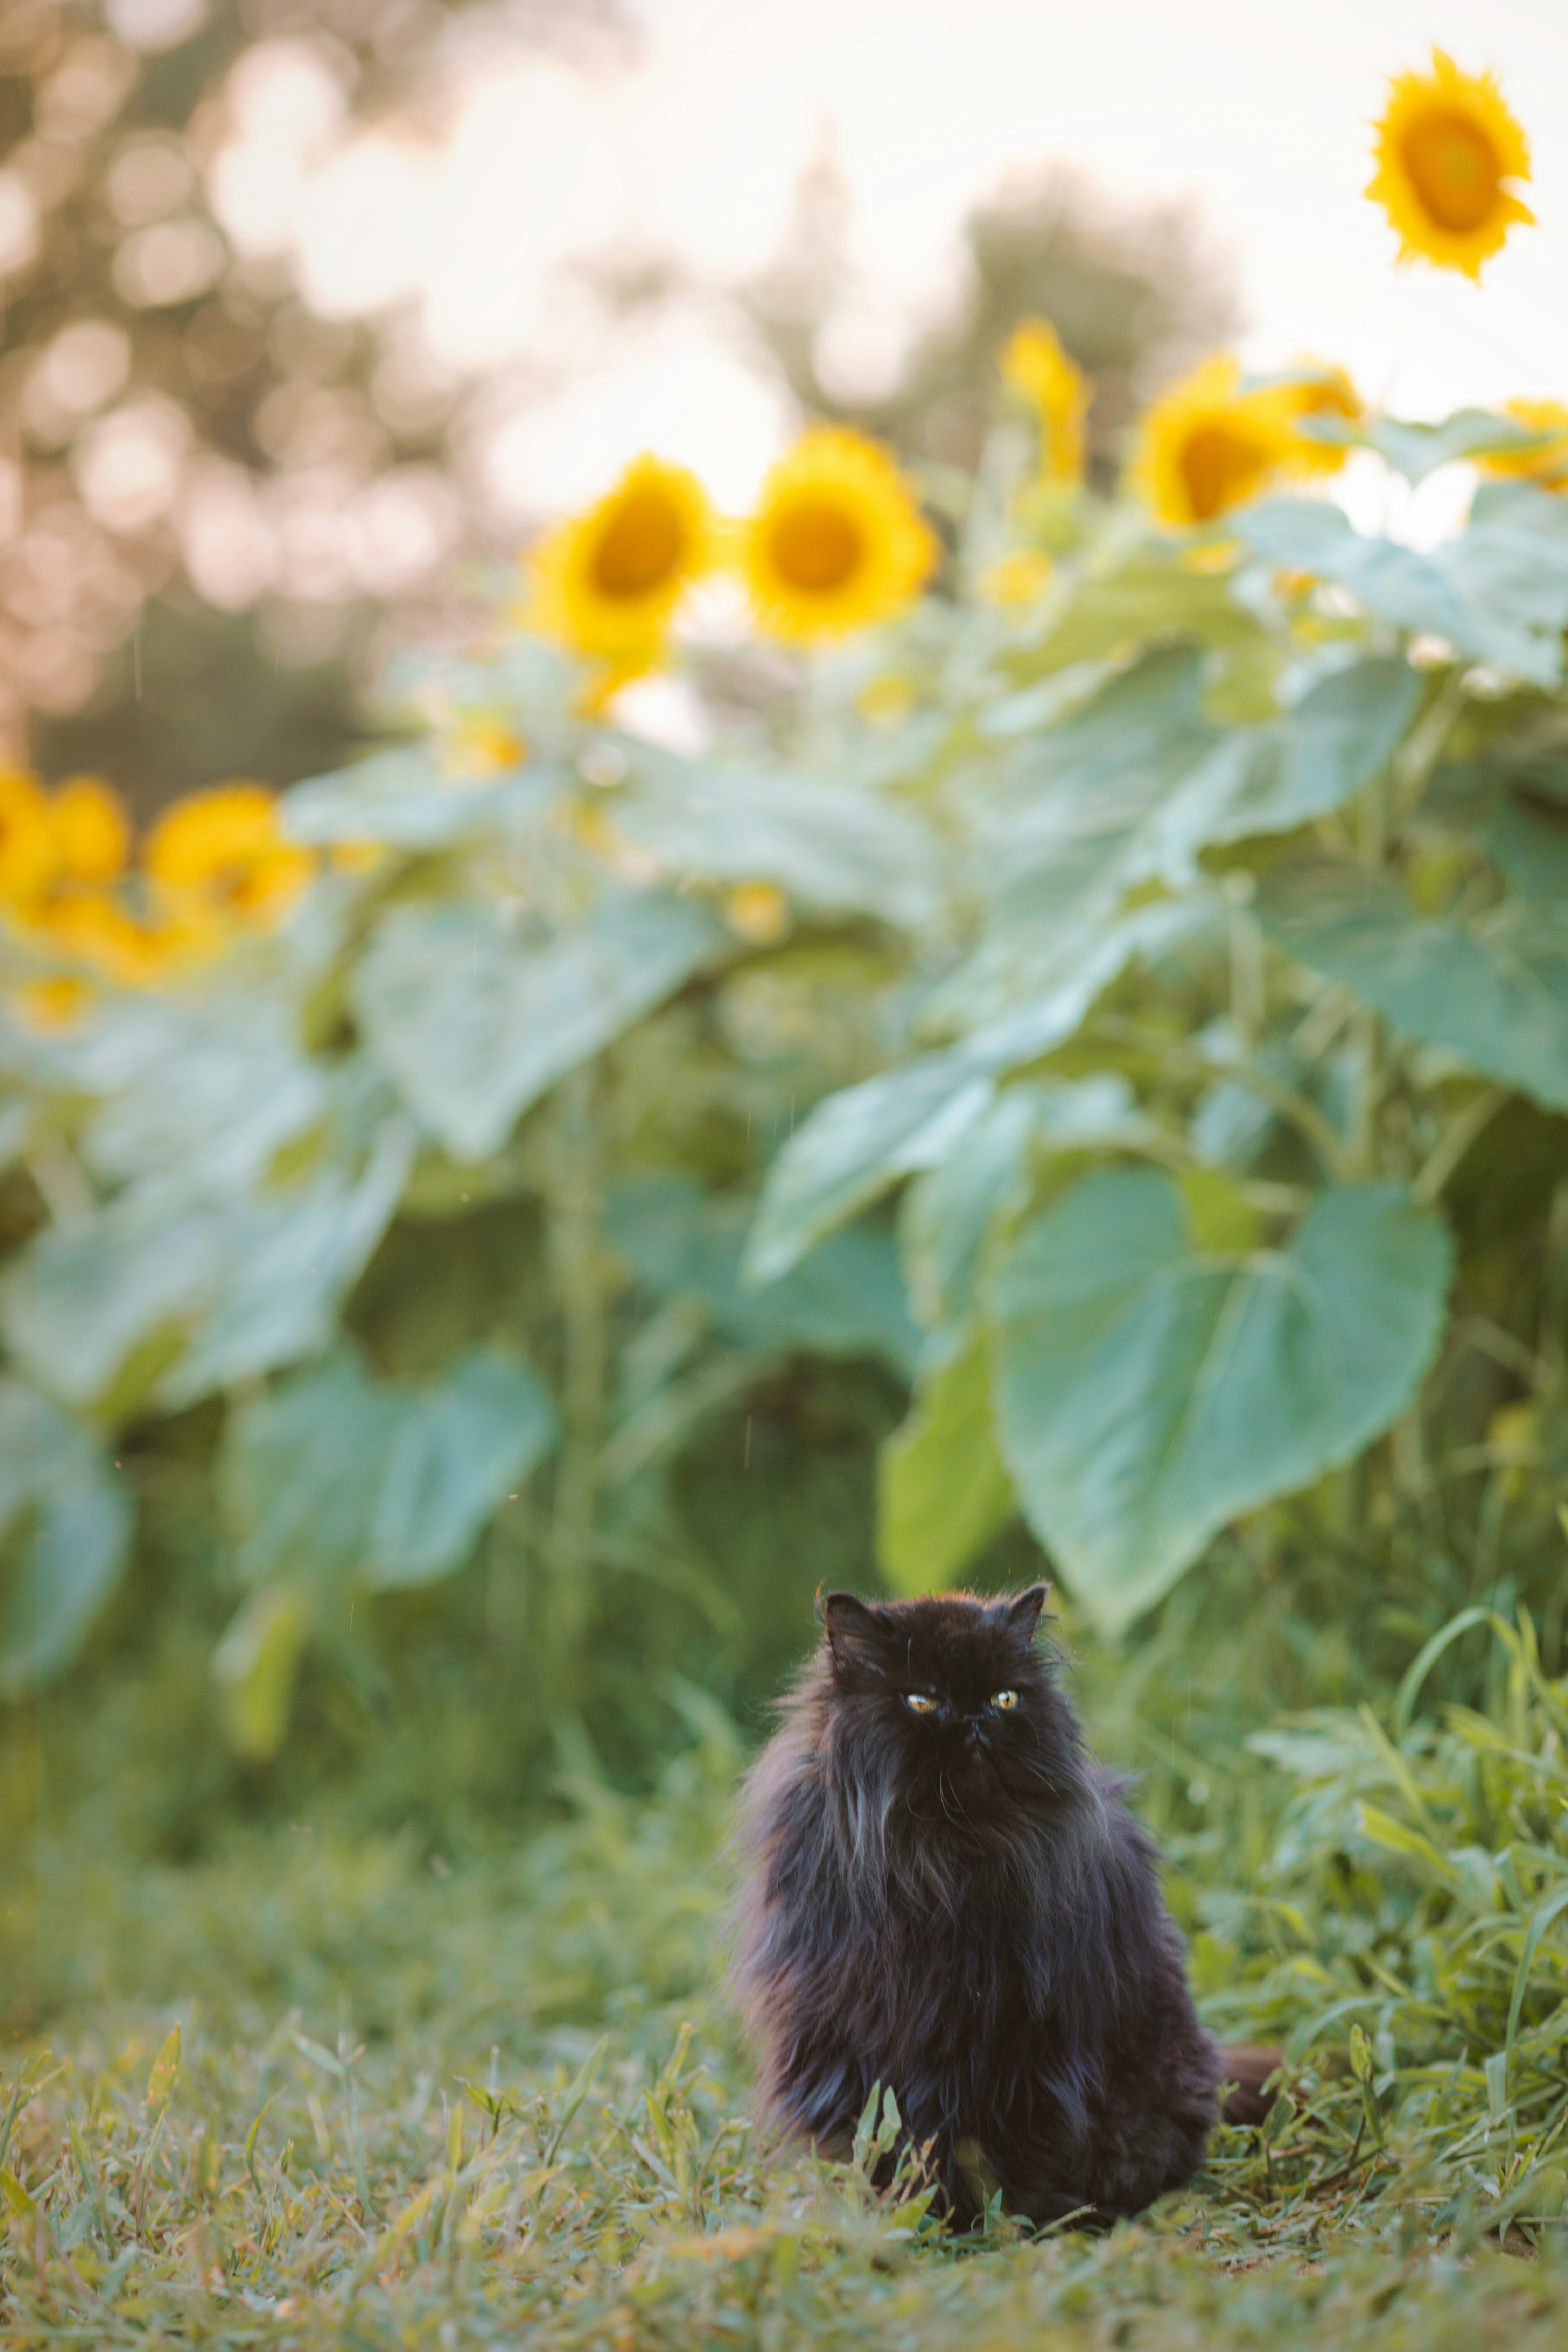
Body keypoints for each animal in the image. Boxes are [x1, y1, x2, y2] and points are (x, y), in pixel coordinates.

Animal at [733, 1580, 1260, 2220]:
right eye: (922, 1701)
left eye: (1005, 1698)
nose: (976, 1719)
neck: (942, 1856)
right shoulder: (844, 2031)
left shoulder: (1011, 2043)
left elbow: (992, 2140)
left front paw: (987, 2216)